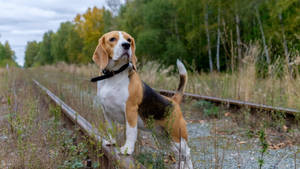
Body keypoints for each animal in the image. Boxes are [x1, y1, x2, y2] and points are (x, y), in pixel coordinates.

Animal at [91, 31, 193, 168]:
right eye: (112, 39)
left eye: (129, 39)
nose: (126, 45)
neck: (113, 76)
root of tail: (173, 100)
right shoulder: (106, 111)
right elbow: (111, 129)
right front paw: (111, 142)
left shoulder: (130, 111)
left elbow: (130, 132)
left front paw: (127, 149)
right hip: (164, 138)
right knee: (179, 154)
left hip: (177, 135)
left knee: (187, 153)